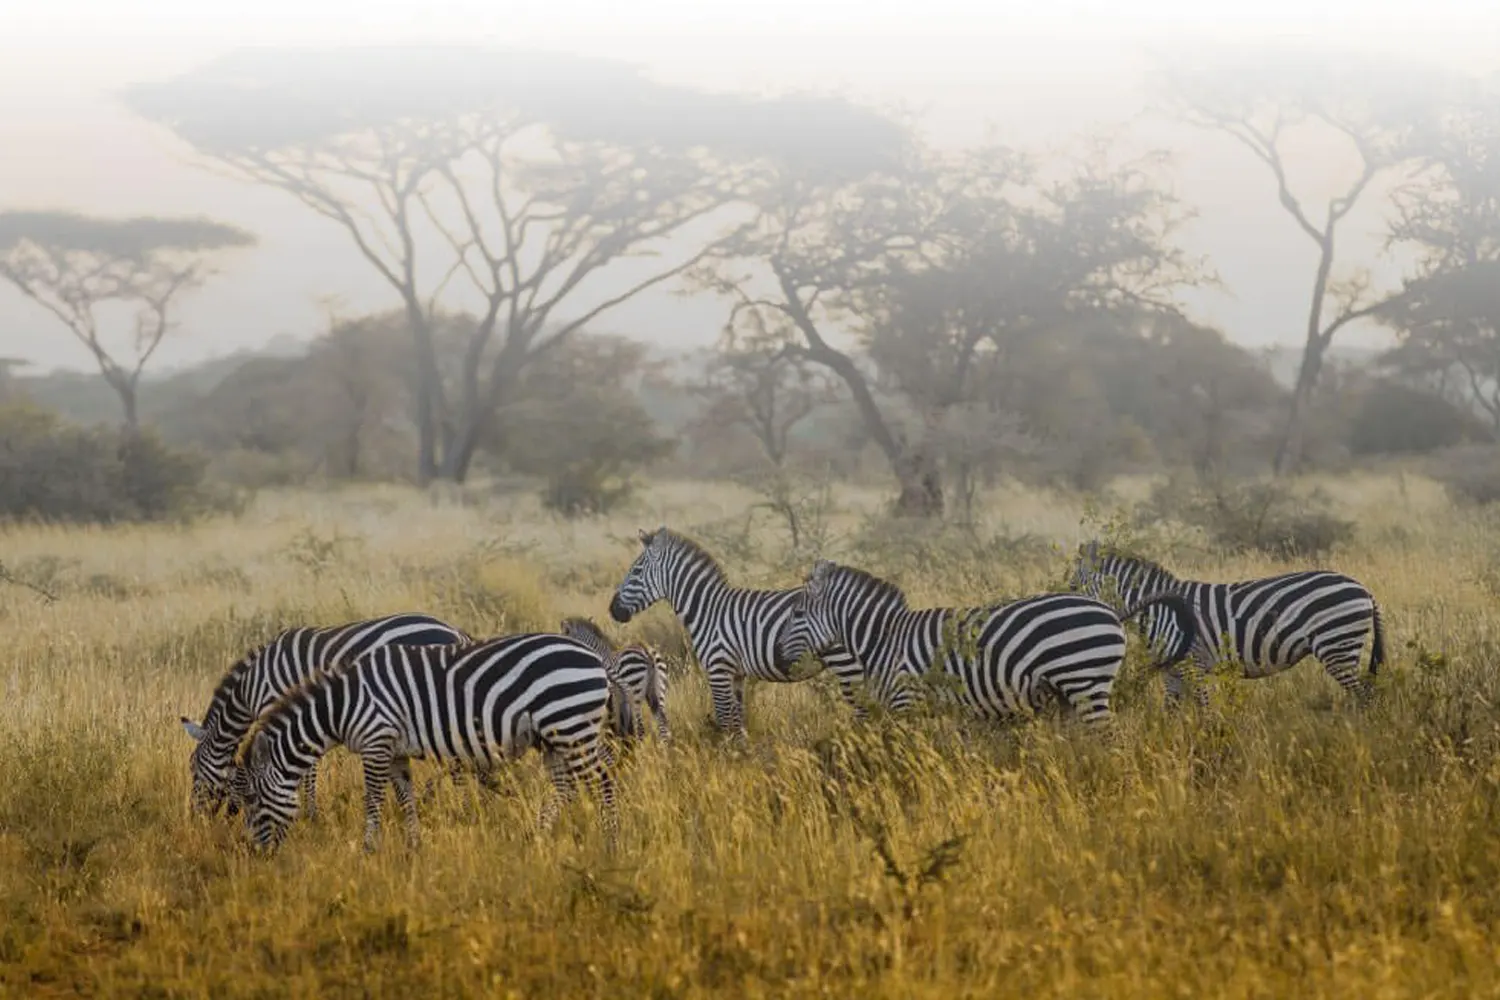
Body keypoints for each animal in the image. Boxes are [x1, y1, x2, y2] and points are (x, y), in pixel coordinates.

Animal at [180, 611, 474, 821]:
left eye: (193, 767)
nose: (195, 817)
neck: (251, 686)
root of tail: (457, 632)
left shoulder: (280, 708)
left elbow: (302, 768)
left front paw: (306, 813)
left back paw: (461, 807)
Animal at [235, 632, 633, 851]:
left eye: (252, 798)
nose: (253, 852)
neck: (343, 704)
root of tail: (595, 658)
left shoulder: (376, 741)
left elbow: (373, 800)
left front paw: (367, 849)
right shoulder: (394, 750)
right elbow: (405, 797)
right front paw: (414, 847)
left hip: (570, 724)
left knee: (603, 779)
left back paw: (611, 843)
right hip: (555, 735)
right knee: (565, 786)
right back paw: (535, 835)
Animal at [606, 527, 870, 740]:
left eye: (636, 571)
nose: (612, 609)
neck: (707, 610)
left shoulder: (718, 669)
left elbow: (725, 721)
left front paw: (729, 763)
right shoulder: (736, 675)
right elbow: (738, 722)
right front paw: (743, 757)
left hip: (848, 665)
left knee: (866, 713)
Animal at [774, 554, 1194, 728]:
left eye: (796, 614)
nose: (778, 658)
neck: (883, 639)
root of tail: (1110, 612)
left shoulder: (906, 702)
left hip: (1084, 680)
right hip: (1072, 691)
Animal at [1068, 539, 1380, 704]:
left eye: (1072, 586)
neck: (1159, 611)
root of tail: (1363, 588)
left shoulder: (1193, 666)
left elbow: (1205, 712)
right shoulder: (1172, 672)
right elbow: (1170, 715)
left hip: (1337, 646)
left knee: (1365, 698)